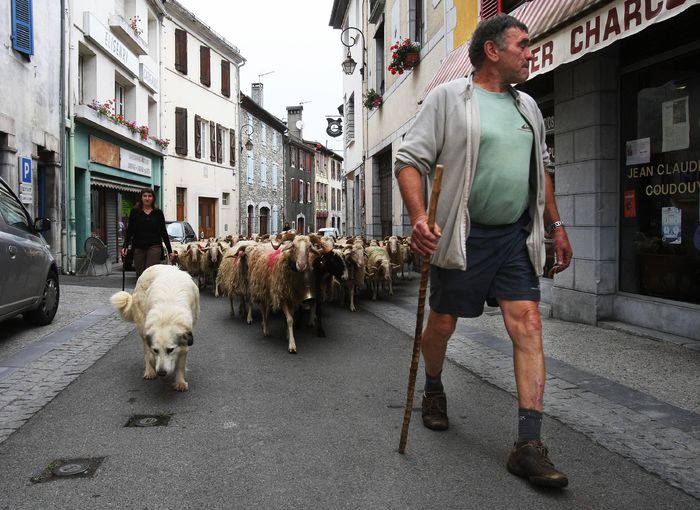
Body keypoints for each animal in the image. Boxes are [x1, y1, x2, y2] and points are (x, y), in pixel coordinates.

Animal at [110, 262, 200, 390]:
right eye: (156, 350)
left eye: (170, 350)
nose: (161, 373)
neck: (167, 316)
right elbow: (150, 355)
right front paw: (154, 367)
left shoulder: (186, 338)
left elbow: (181, 363)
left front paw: (180, 382)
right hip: (142, 325)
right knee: (145, 351)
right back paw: (149, 371)